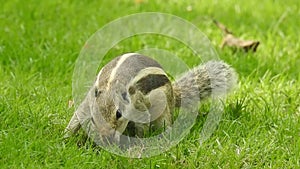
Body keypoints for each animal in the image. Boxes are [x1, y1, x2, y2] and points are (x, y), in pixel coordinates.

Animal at [64, 52, 238, 144]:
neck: (110, 85)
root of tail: (174, 94)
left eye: (119, 114)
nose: (107, 139)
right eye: (94, 118)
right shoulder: (88, 102)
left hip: (164, 108)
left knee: (165, 123)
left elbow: (142, 123)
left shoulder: (138, 104)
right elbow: (78, 116)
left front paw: (136, 143)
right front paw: (66, 137)